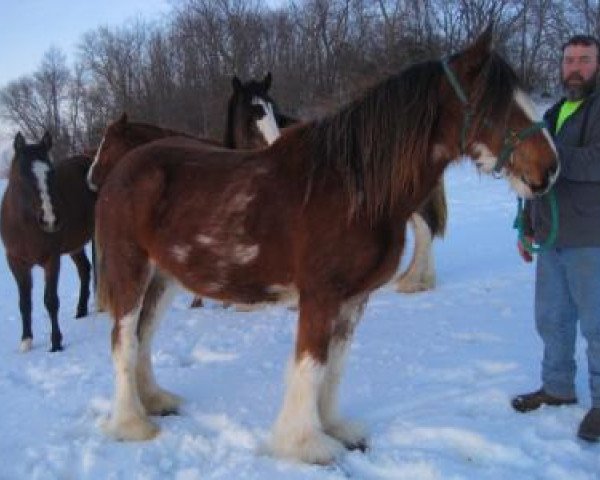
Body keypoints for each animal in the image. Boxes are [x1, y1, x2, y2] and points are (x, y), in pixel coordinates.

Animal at [1, 131, 95, 352]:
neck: (25, 227)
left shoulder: (51, 259)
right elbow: (24, 302)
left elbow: (51, 301)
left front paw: (56, 343)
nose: (50, 219)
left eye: (51, 173)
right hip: (75, 246)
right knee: (84, 269)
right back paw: (81, 311)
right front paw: (26, 340)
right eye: (23, 175)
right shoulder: (16, 262)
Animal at [94, 28, 556, 464]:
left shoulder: (353, 298)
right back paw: (133, 424)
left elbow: (335, 366)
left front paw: (334, 427)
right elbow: (311, 364)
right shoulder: (320, 295)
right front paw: (305, 445)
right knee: (124, 340)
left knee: (145, 335)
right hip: (131, 271)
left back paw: (154, 401)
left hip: (163, 278)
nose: (549, 168)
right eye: (495, 105)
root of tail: (119, 173)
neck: (354, 188)